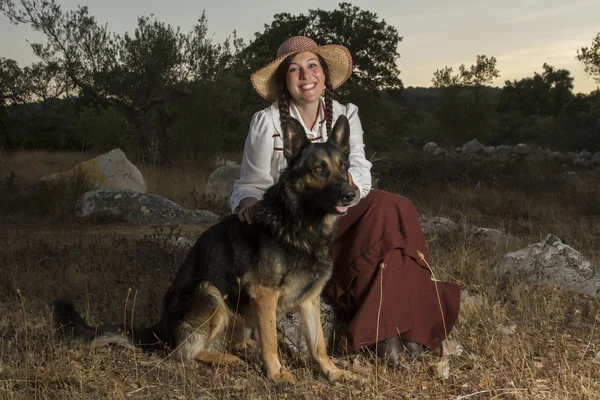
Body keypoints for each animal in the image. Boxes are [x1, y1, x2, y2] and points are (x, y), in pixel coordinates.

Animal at [50, 114, 356, 382]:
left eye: (344, 167)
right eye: (319, 169)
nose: (351, 195)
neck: (300, 224)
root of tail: (160, 327)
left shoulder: (309, 300)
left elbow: (318, 345)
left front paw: (332, 372)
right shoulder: (264, 294)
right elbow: (270, 341)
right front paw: (277, 374)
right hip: (209, 292)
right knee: (186, 352)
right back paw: (225, 358)